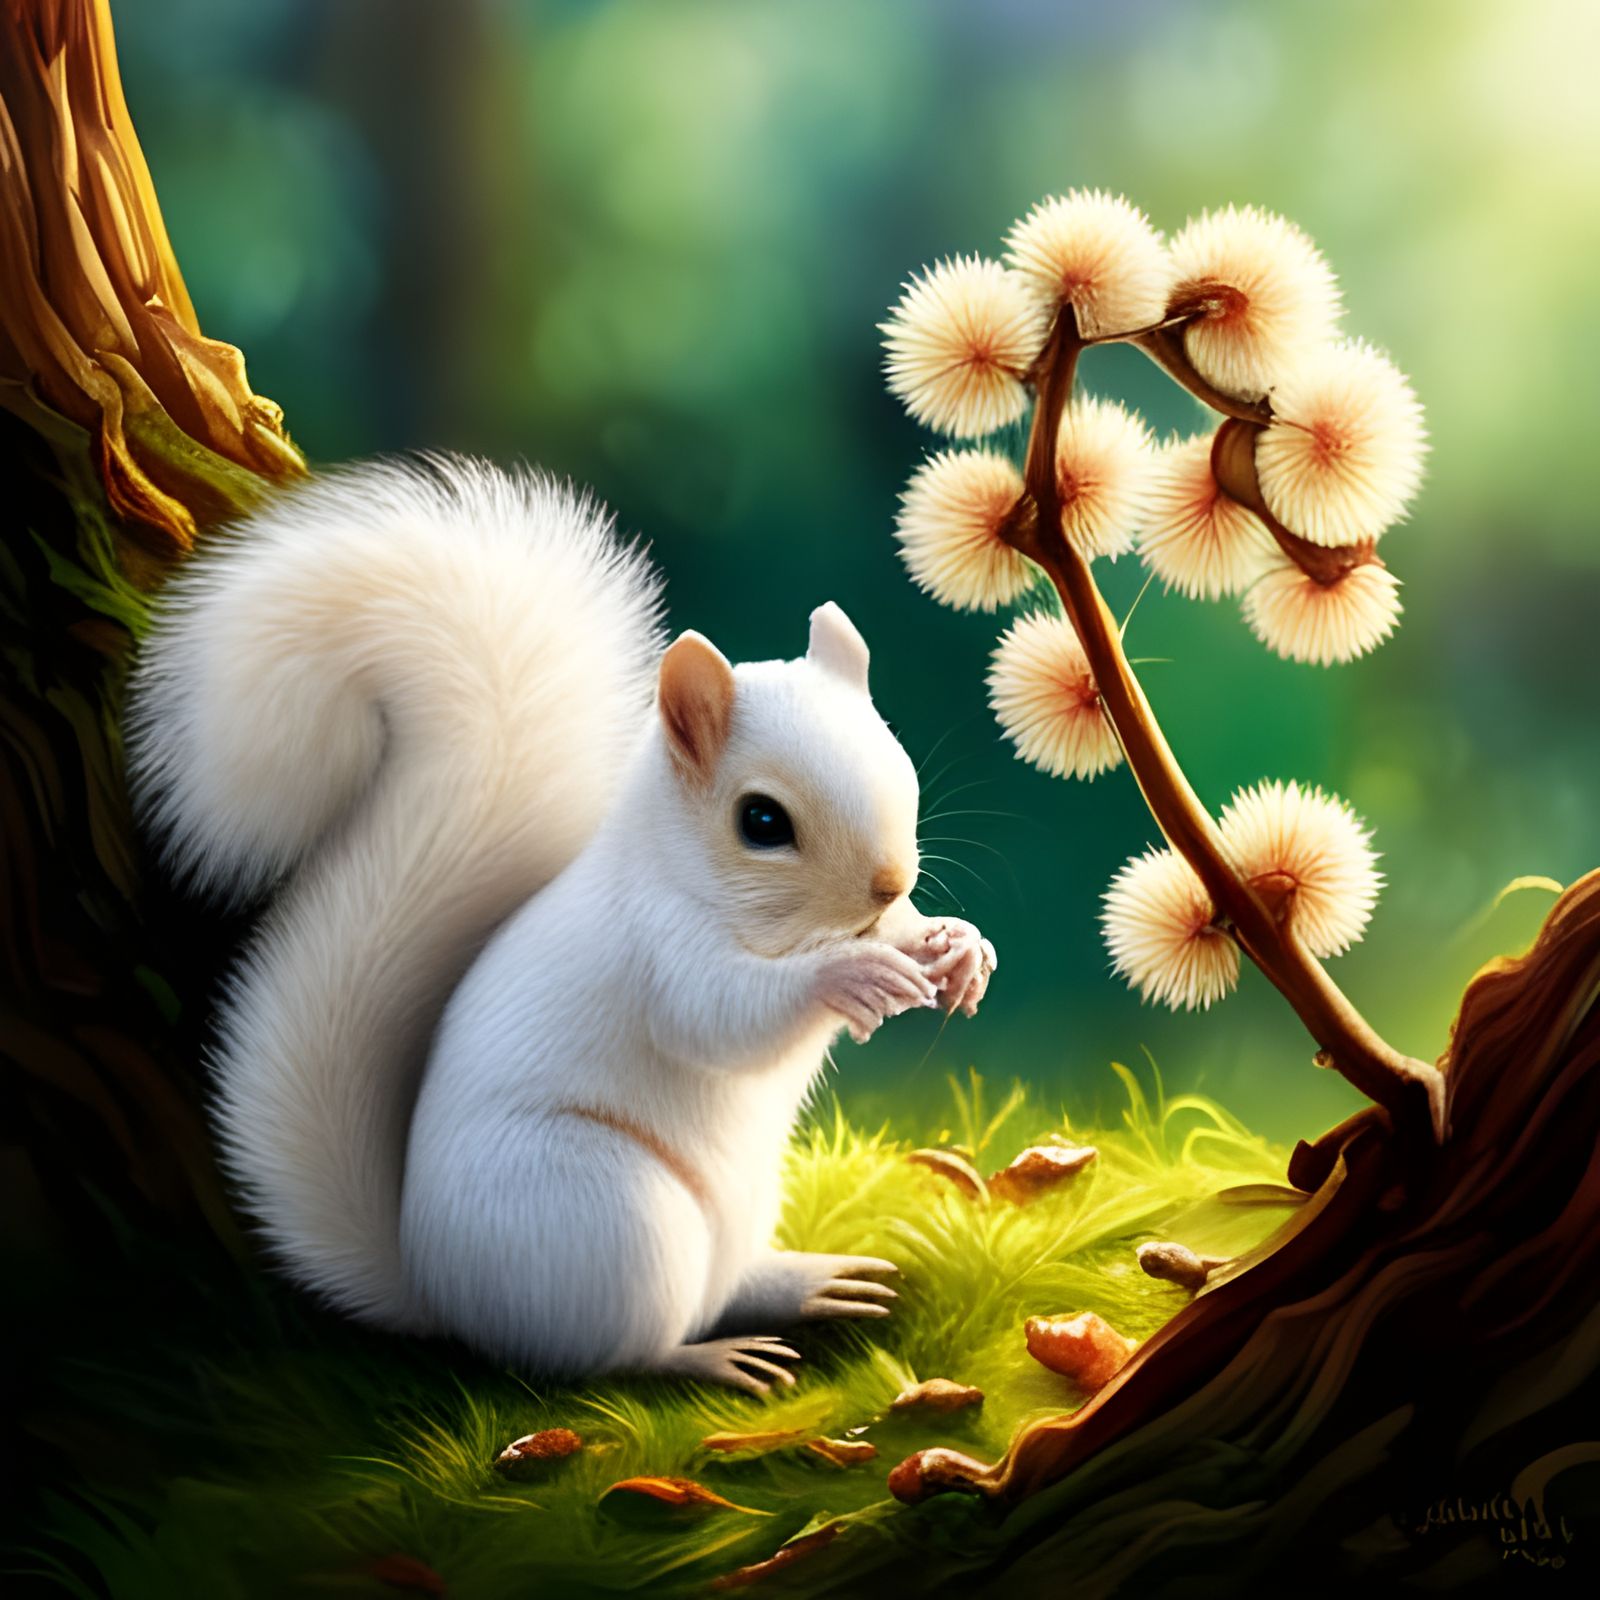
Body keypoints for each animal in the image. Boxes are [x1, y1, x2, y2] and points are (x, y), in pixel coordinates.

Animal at [126, 455, 997, 1394]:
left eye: (894, 753)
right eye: (762, 822)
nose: (888, 881)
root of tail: (441, 1289)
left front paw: (955, 947)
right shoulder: (659, 951)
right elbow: (723, 1019)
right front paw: (854, 976)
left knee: (725, 1287)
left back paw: (806, 1281)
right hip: (611, 1215)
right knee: (613, 1353)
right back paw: (709, 1355)